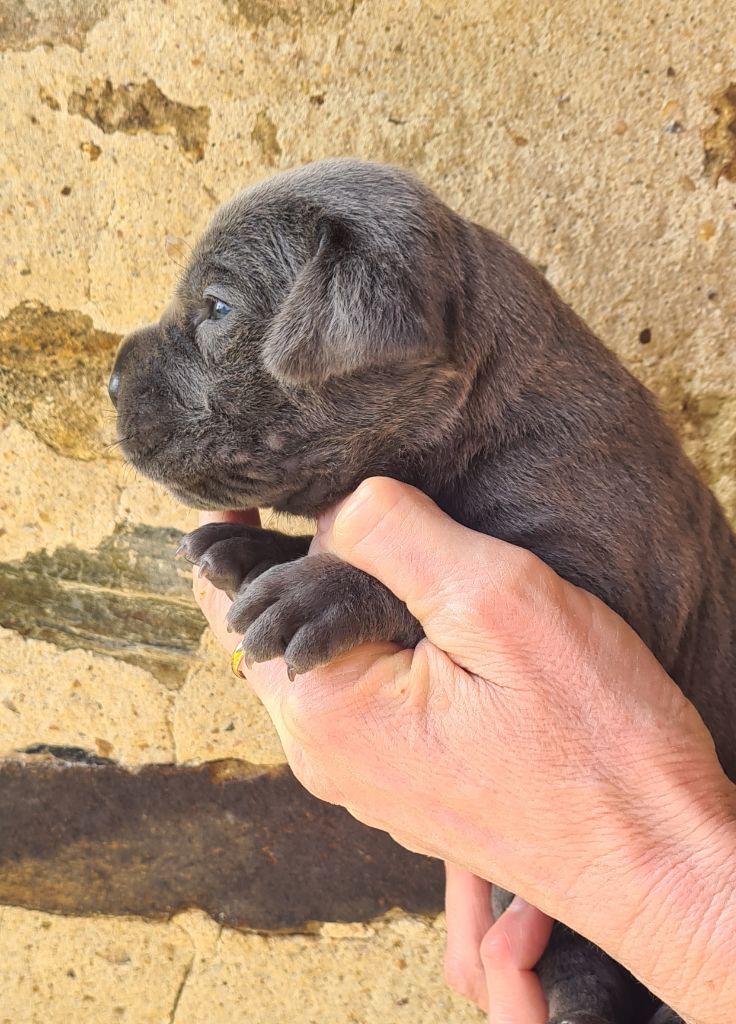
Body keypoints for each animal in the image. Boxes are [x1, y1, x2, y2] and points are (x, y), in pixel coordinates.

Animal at [109, 159, 736, 1024]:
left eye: (219, 308)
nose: (107, 377)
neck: (479, 414)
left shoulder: (605, 568)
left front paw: (319, 593)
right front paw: (250, 548)